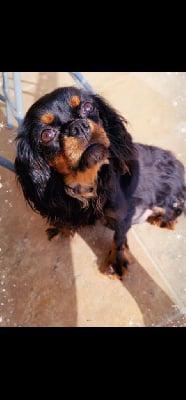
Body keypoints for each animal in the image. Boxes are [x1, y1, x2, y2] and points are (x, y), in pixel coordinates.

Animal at [14, 85, 186, 278]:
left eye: (88, 107)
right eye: (47, 134)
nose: (78, 126)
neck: (87, 180)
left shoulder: (123, 213)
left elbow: (118, 239)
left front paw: (115, 262)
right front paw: (61, 227)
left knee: (177, 208)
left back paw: (163, 219)